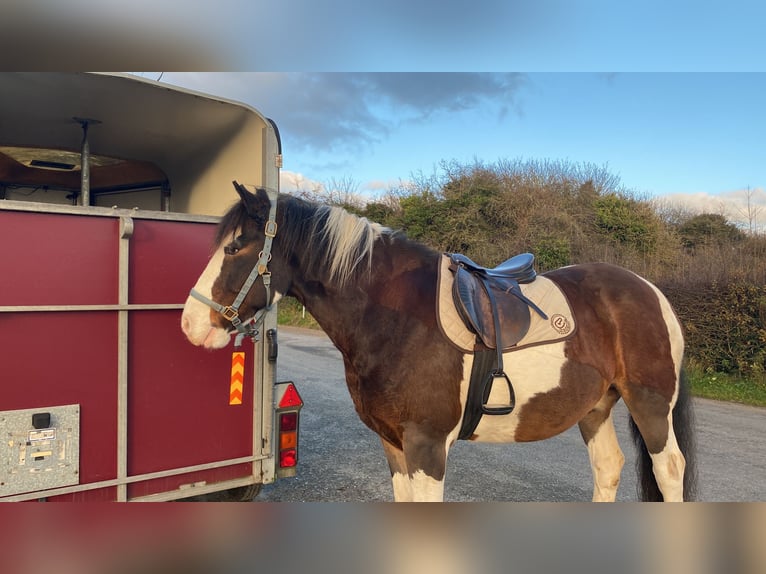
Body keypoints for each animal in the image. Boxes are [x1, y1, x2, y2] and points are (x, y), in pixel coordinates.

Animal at [181, 183, 697, 502]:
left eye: (235, 247)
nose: (189, 323)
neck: (396, 317)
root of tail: (651, 291)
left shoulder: (427, 446)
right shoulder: (394, 444)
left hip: (650, 404)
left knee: (670, 469)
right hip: (595, 406)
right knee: (608, 468)